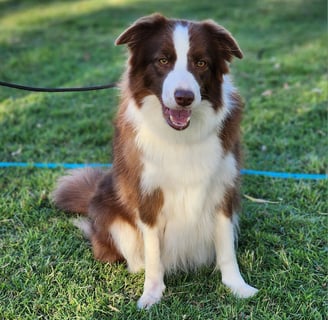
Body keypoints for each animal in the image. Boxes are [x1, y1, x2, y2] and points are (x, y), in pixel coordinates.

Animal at [52, 13, 258, 308]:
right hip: (112, 217)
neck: (181, 136)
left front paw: (237, 286)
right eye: (162, 60)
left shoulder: (223, 189)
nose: (184, 98)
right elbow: (153, 253)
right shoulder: (147, 195)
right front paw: (152, 293)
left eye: (201, 63)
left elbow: (226, 248)